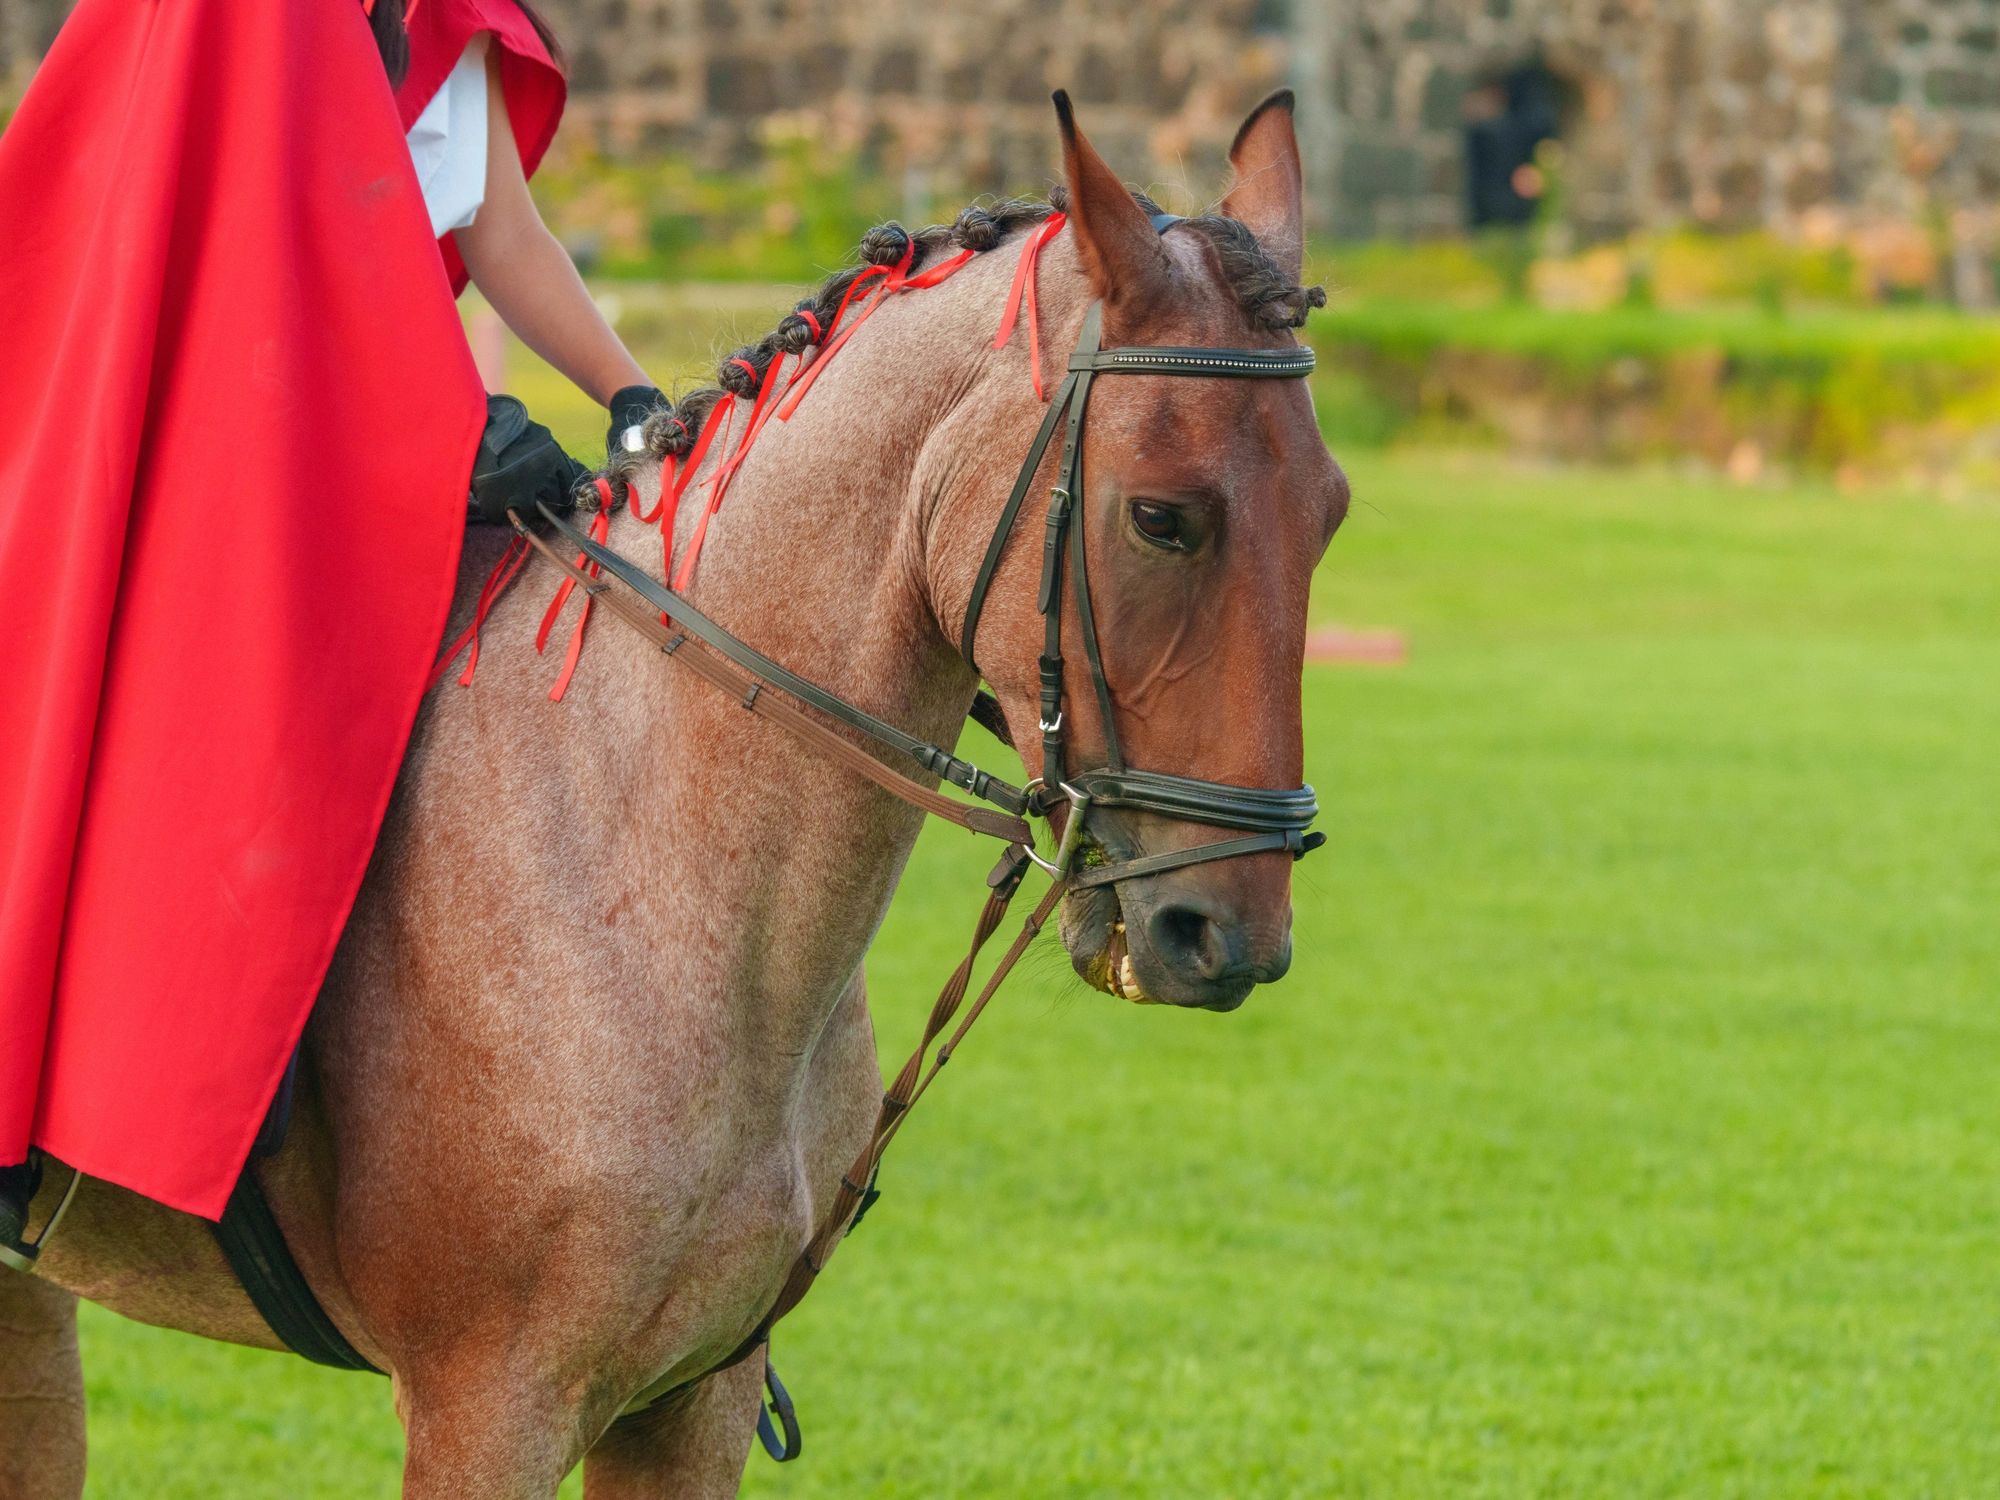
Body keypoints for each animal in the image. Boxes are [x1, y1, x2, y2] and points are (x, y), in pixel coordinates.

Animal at [0, 92, 1348, 1498]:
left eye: (1330, 517)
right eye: (1160, 520)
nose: (1224, 936)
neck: (651, 875)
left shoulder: (696, 1396)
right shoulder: (487, 1404)